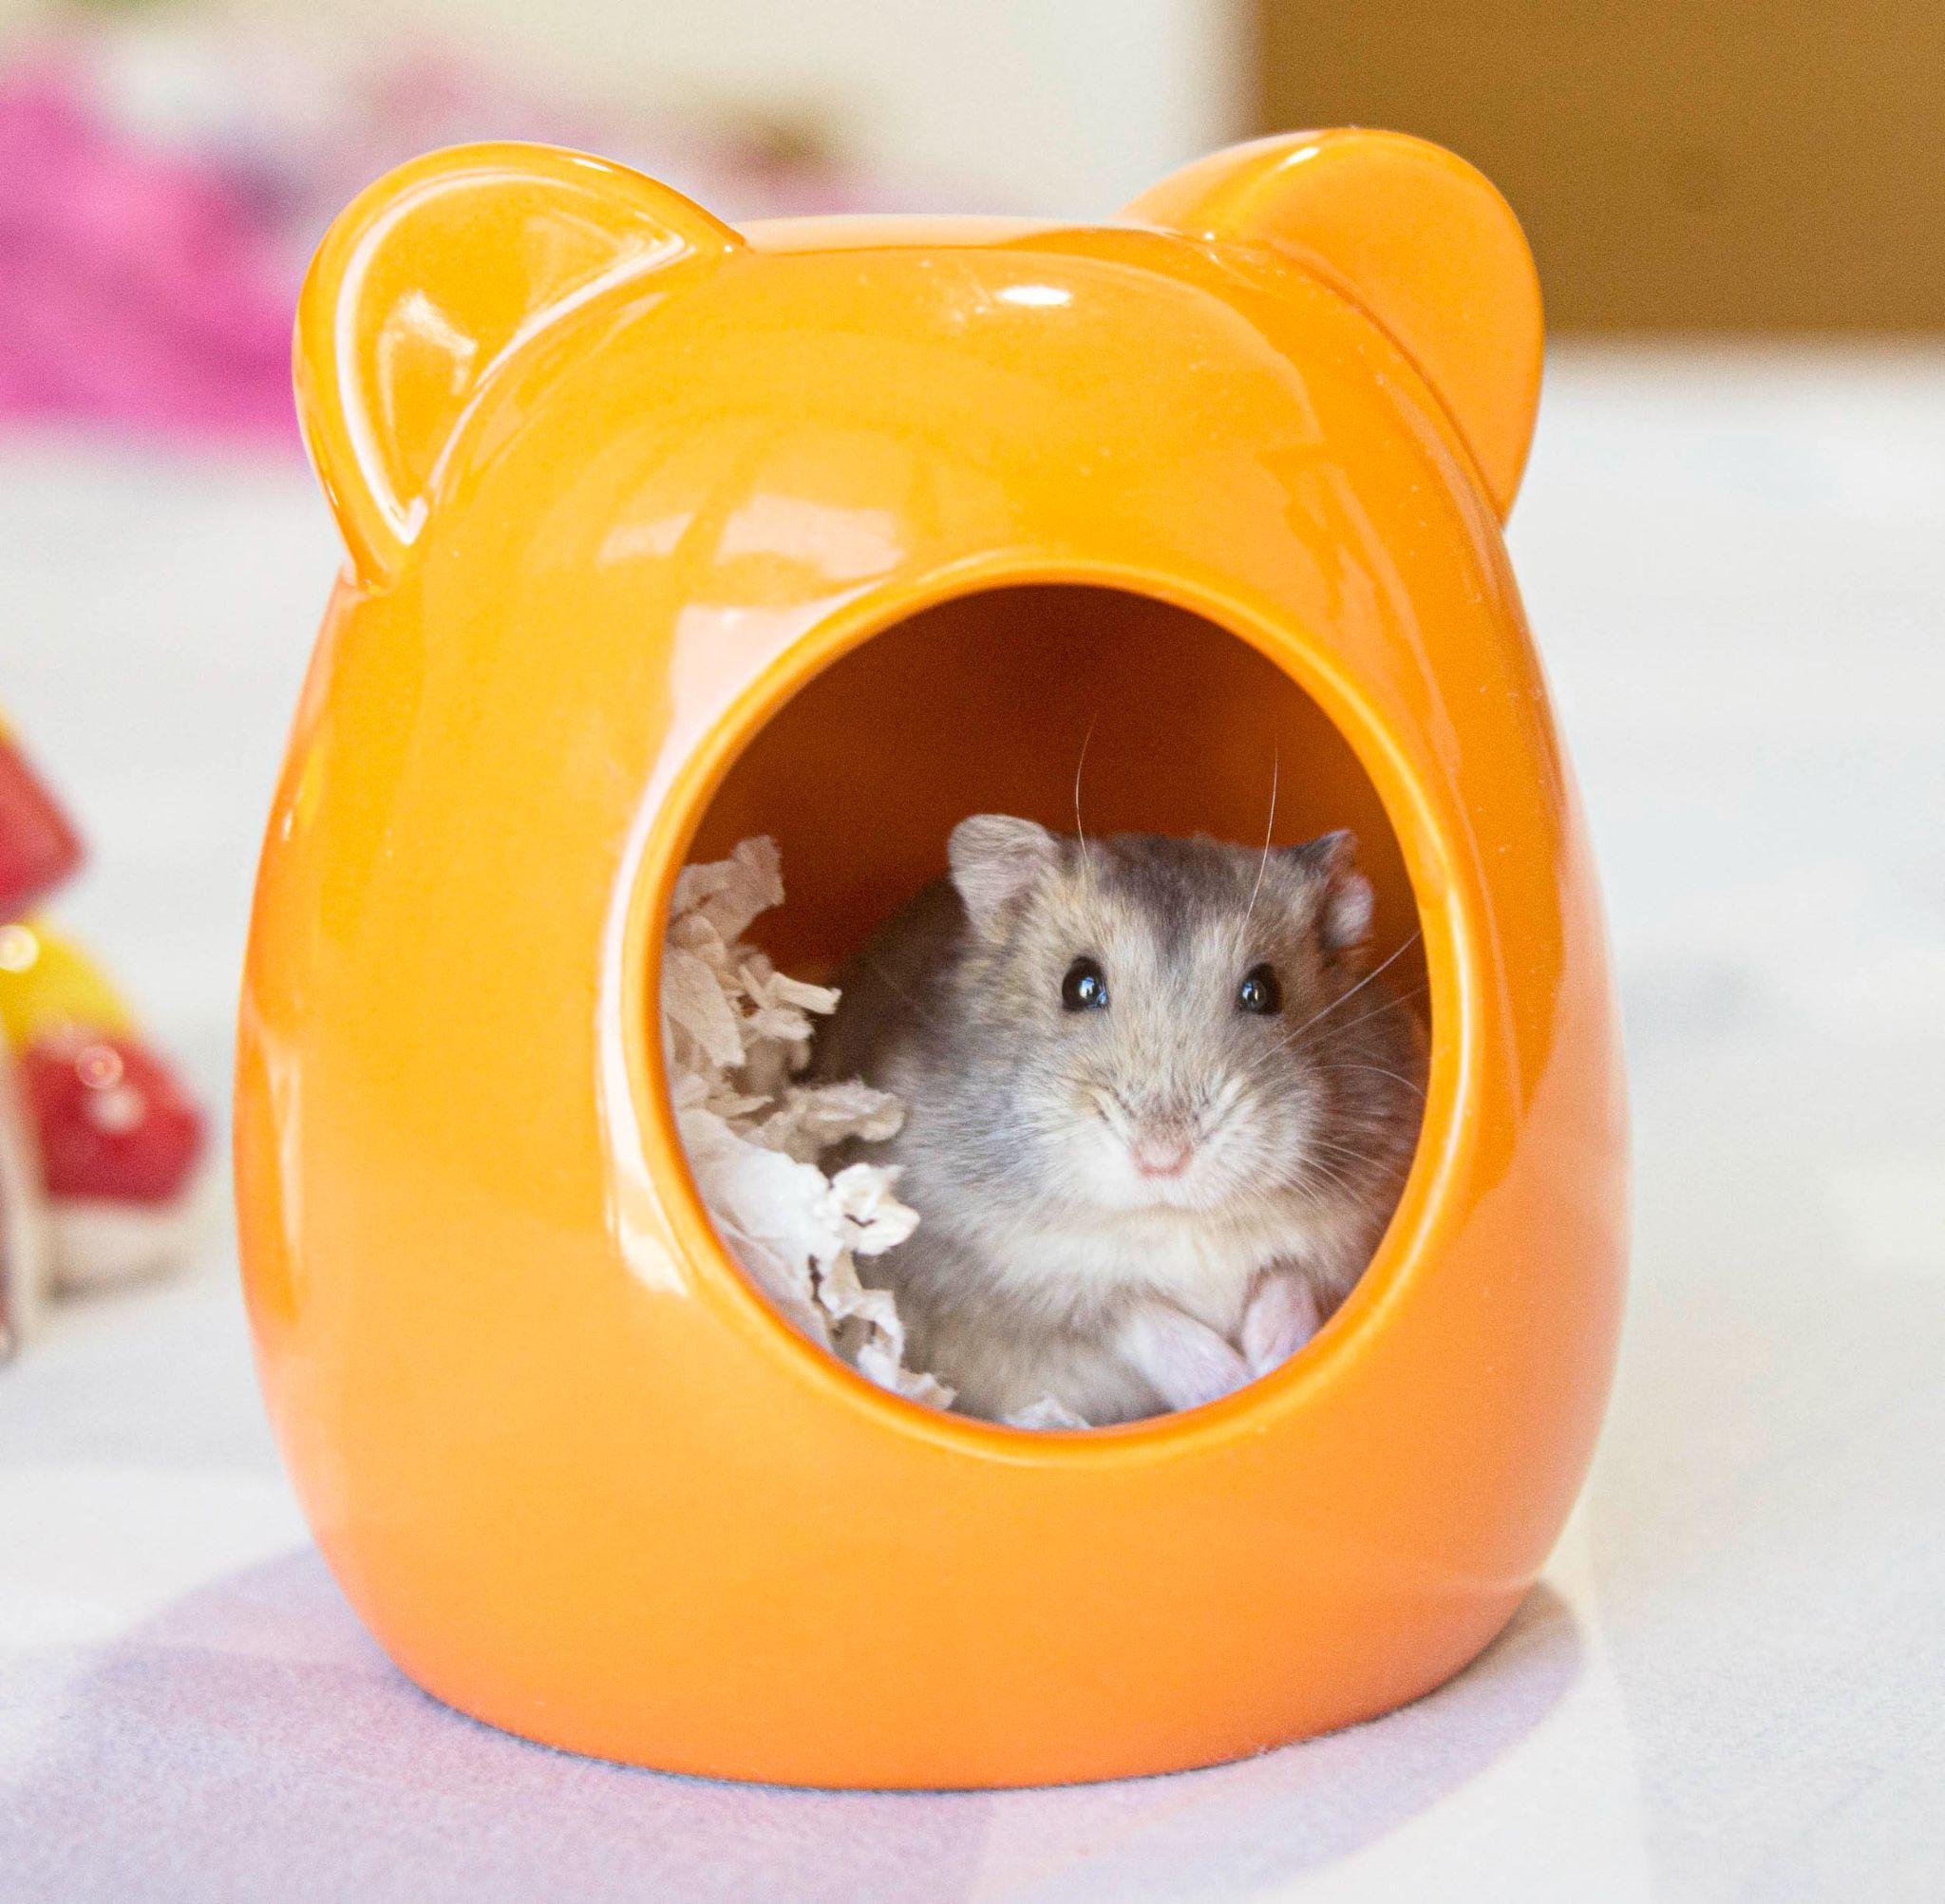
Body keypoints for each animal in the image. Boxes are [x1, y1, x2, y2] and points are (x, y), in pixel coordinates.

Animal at [810, 815, 1426, 1425]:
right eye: (1079, 985)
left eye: (1264, 991)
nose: (1163, 1157)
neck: (1172, 1219)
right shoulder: (993, 1275)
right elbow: (1137, 1315)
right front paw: (1229, 1382)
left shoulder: (1354, 1229)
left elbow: (1288, 1278)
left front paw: (1274, 1362)